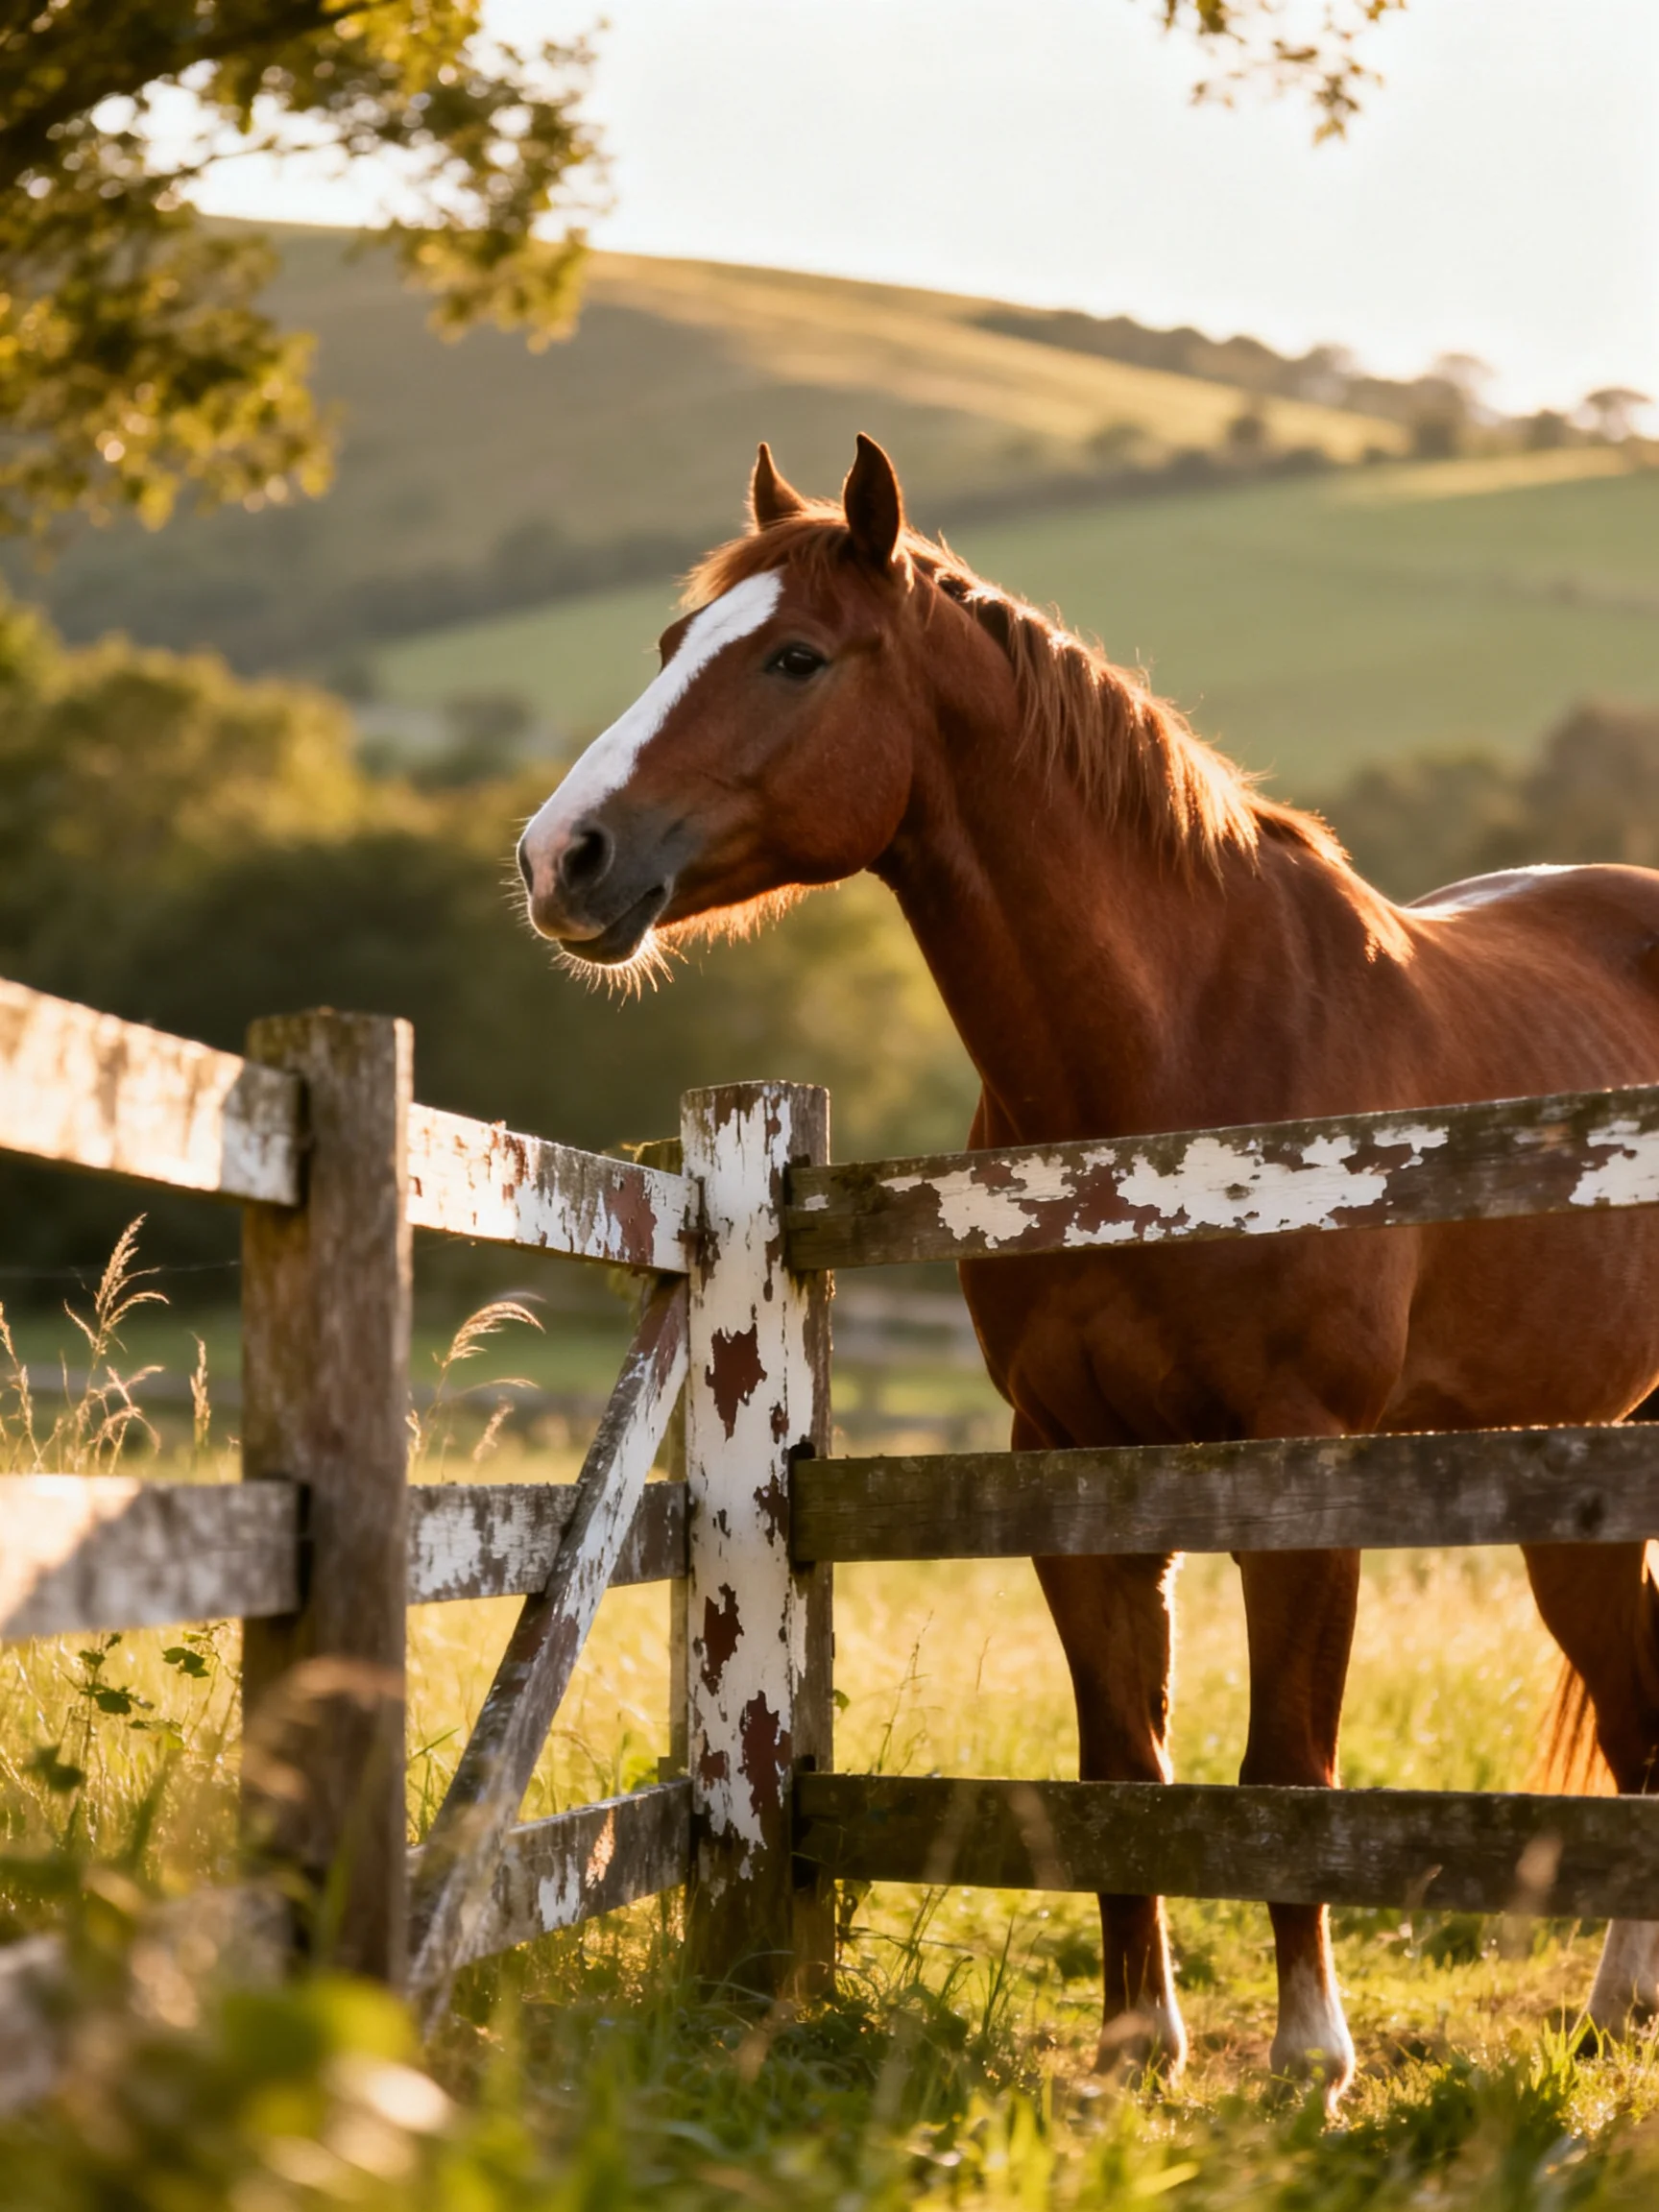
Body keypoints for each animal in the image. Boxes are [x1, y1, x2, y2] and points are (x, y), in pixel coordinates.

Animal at [517, 434, 1659, 2099]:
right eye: (675, 644)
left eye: (796, 657)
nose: (561, 857)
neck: (1178, 1062)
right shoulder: (1069, 1458)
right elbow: (1122, 1759)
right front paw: (1139, 2044)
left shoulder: (1298, 1467)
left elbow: (1286, 1767)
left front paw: (1310, 2055)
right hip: (1568, 1463)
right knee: (1634, 1716)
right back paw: (1618, 2004)